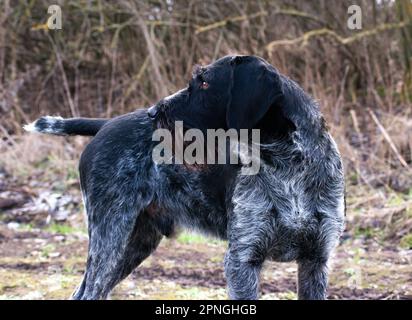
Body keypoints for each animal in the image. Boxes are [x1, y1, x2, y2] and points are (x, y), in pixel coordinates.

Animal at [25, 55, 344, 300]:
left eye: (204, 82)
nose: (153, 111)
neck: (288, 168)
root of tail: (105, 125)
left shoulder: (316, 261)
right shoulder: (243, 260)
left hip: (135, 242)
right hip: (109, 238)